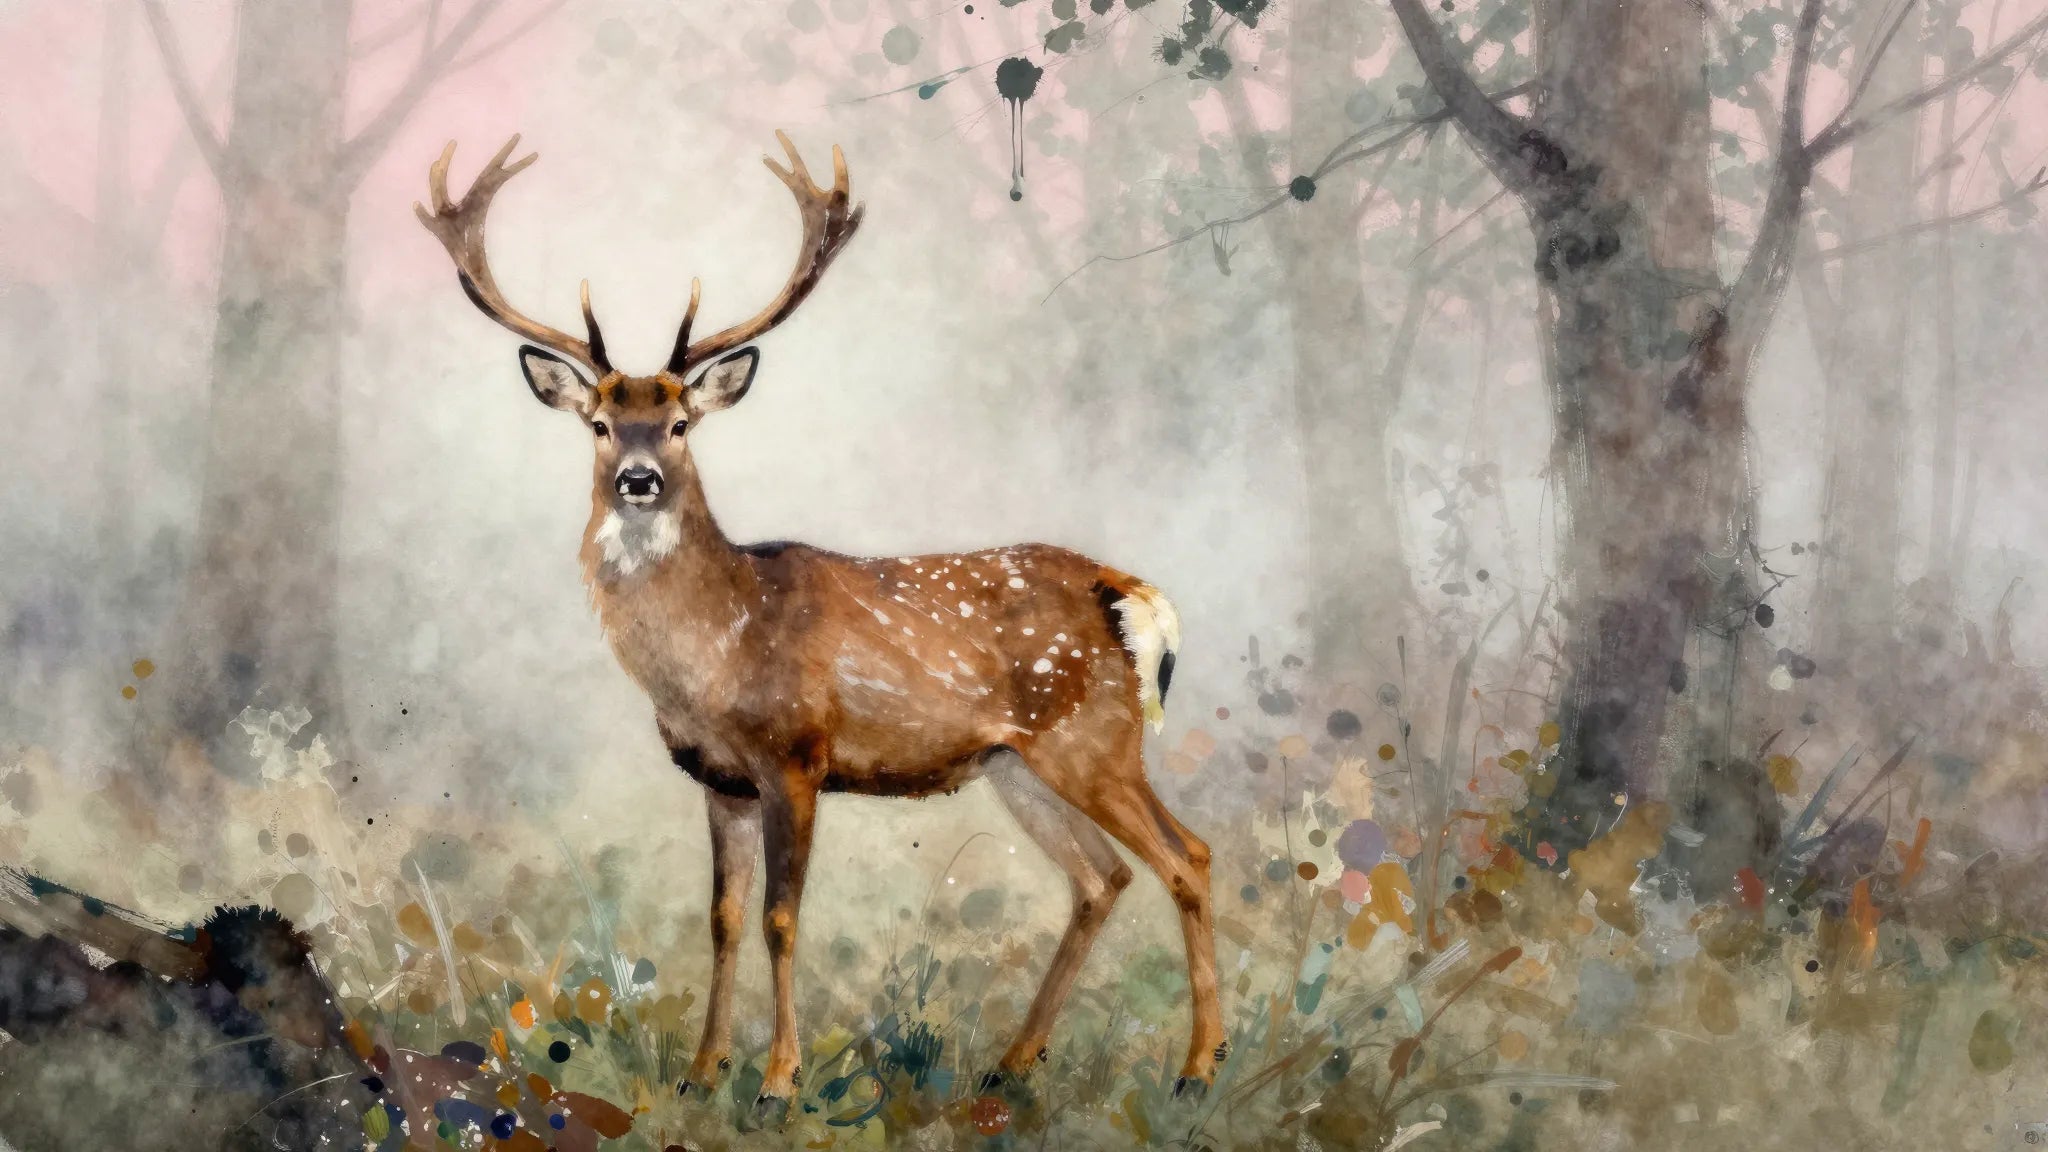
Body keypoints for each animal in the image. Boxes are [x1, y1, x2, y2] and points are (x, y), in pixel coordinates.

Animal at [416, 134, 1223, 1110]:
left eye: (680, 423)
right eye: (602, 423)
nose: (639, 480)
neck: (714, 655)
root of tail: (1127, 590)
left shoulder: (796, 754)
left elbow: (781, 917)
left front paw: (778, 1080)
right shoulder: (717, 778)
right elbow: (723, 919)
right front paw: (701, 1073)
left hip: (1095, 738)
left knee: (1188, 857)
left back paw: (1197, 1069)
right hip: (1016, 762)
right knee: (1102, 878)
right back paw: (1013, 1062)